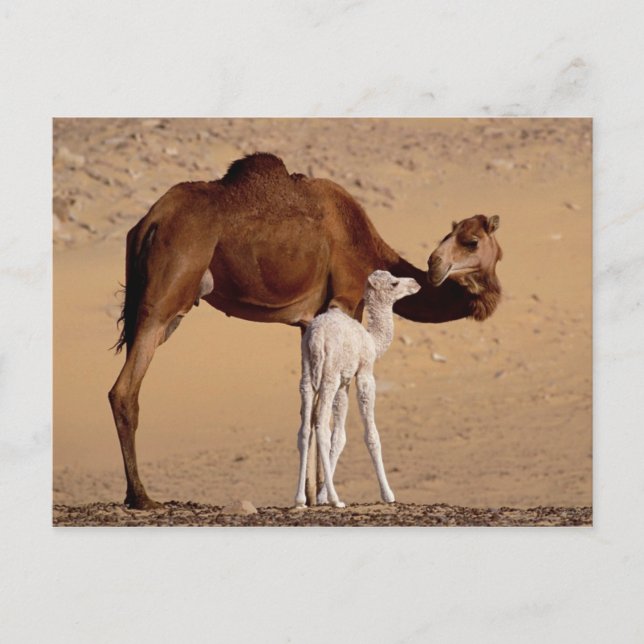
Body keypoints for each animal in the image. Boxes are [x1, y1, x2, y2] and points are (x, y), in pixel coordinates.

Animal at [295, 271, 421, 508]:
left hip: (307, 374)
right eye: (394, 283)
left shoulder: (344, 382)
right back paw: (337, 500)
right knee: (321, 426)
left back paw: (299, 499)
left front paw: (322, 496)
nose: (416, 283)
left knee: (305, 429)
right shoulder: (364, 373)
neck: (372, 340)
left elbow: (340, 437)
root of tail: (316, 337)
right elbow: (371, 435)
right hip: (329, 375)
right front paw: (388, 494)